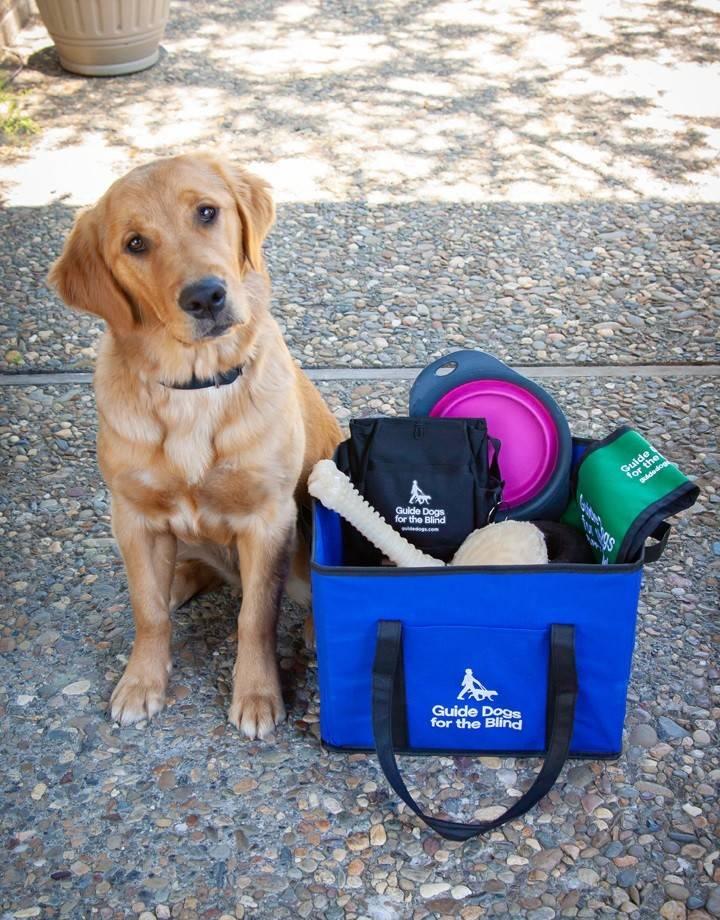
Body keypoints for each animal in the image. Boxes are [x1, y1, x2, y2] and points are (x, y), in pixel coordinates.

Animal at [50, 153, 344, 740]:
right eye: (135, 243)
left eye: (207, 212)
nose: (205, 296)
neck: (195, 385)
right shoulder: (134, 518)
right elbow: (147, 611)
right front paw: (141, 682)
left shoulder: (267, 519)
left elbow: (255, 616)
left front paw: (256, 695)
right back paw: (180, 579)